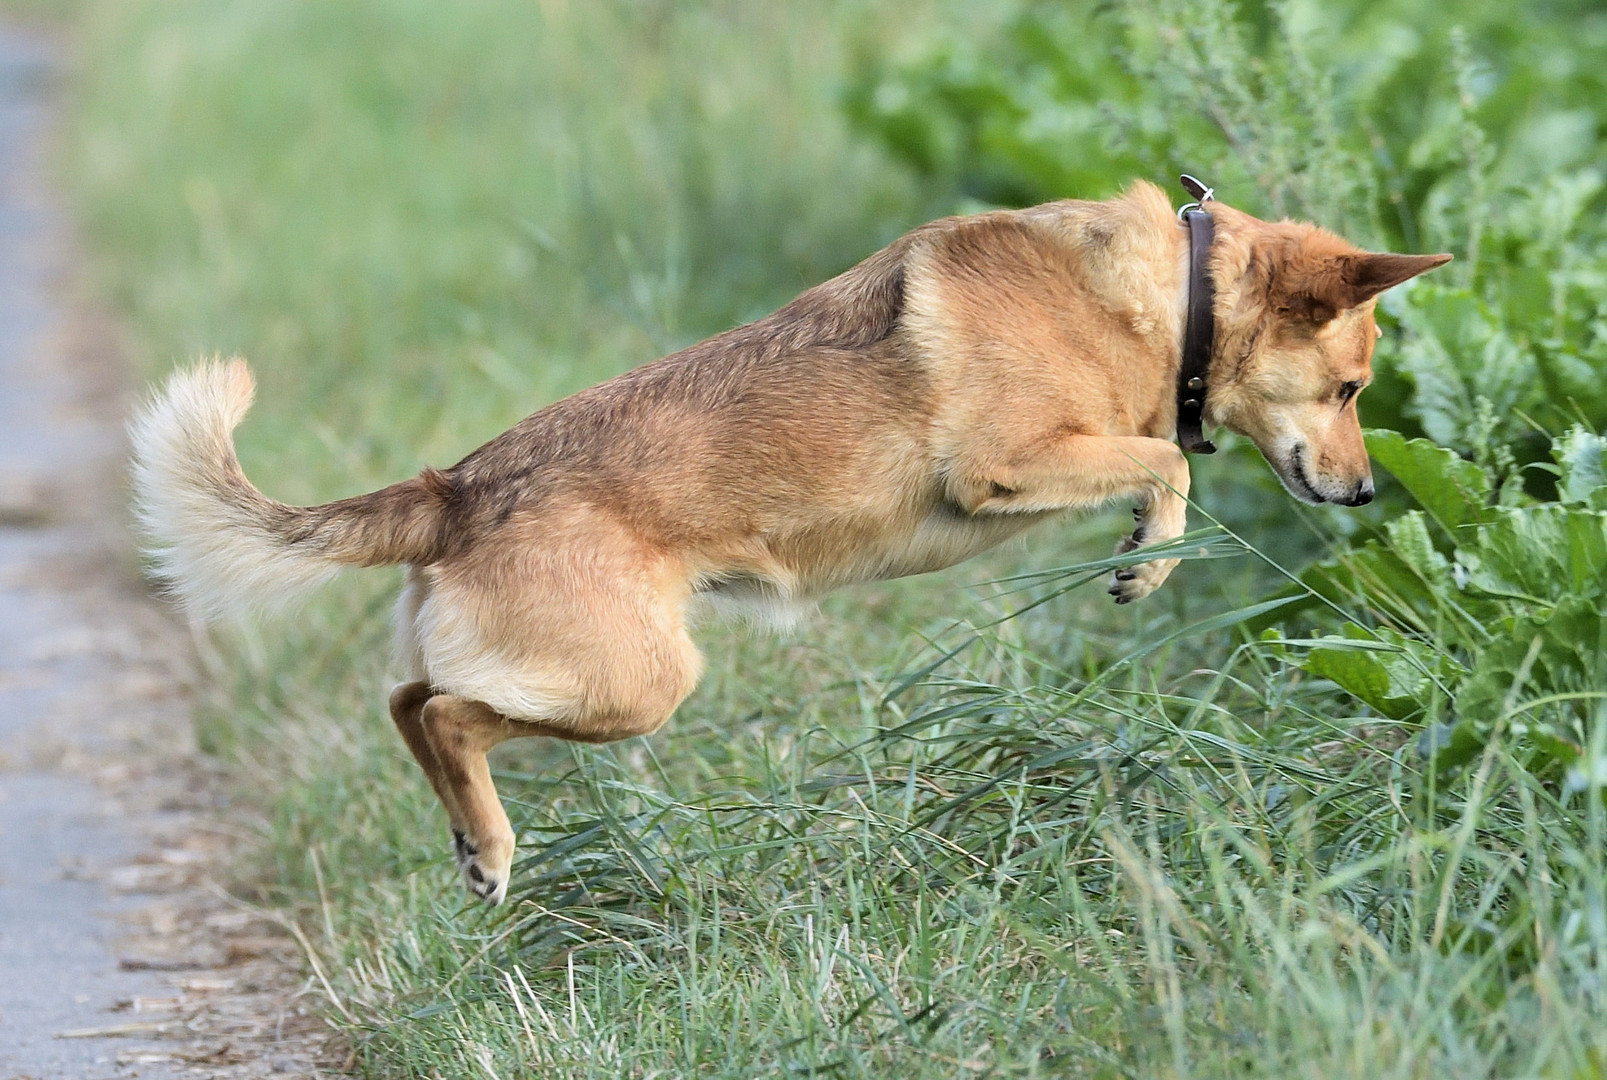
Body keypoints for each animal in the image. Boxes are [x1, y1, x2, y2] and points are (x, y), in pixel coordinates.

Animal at [131, 179, 1452, 900]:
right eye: (1348, 388)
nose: (1363, 495)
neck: (1167, 298)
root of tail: (456, 485)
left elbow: (1158, 460)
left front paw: (1142, 545)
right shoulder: (1004, 465)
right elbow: (1168, 460)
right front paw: (1148, 554)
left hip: (583, 674)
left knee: (410, 700)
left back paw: (470, 842)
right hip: (638, 683)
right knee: (446, 713)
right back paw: (493, 849)